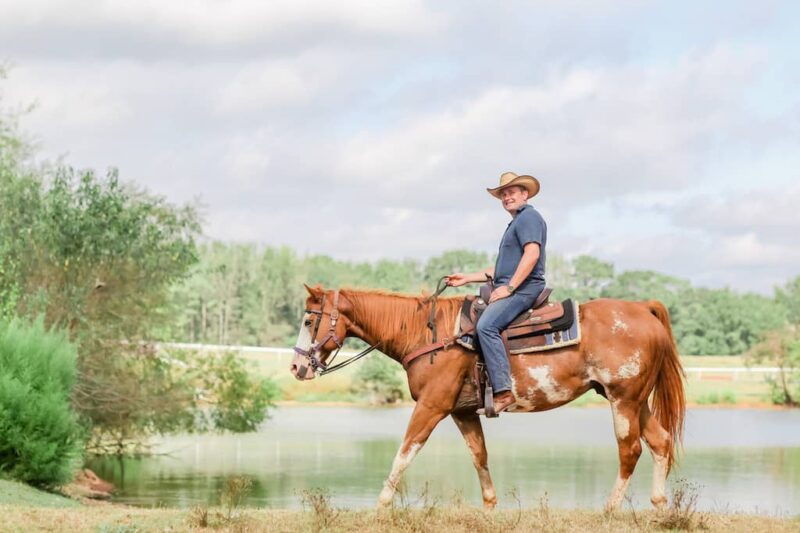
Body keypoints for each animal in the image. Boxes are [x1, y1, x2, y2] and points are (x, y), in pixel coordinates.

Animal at [290, 284, 684, 510]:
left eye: (310, 321)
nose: (296, 366)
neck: (429, 335)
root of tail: (643, 309)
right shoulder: (462, 412)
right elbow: (479, 456)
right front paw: (491, 507)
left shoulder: (431, 406)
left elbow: (404, 453)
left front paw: (381, 505)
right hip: (635, 402)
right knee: (660, 442)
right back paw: (659, 504)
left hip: (623, 401)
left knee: (629, 451)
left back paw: (610, 509)